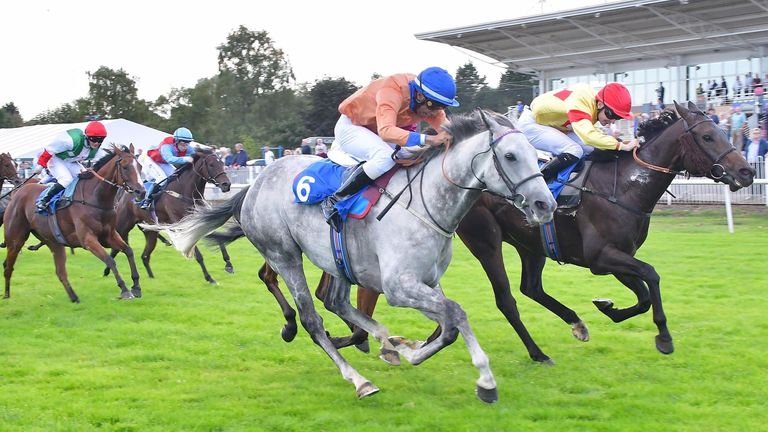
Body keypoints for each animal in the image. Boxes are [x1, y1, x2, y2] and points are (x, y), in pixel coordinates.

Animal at [2, 143, 146, 302]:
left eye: (140, 166)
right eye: (125, 167)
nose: (141, 192)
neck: (96, 198)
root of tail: (18, 191)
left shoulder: (108, 236)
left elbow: (128, 251)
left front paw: (136, 287)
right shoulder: (87, 239)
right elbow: (109, 259)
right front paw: (125, 289)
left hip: (54, 242)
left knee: (60, 272)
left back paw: (74, 297)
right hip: (15, 239)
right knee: (8, 266)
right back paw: (7, 295)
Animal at [103, 148, 232, 284]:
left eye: (222, 163)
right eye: (211, 165)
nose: (226, 184)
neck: (186, 192)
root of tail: (124, 195)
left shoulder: (199, 221)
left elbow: (218, 237)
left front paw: (228, 264)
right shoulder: (182, 225)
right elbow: (198, 254)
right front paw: (209, 277)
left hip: (150, 231)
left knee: (144, 256)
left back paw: (151, 277)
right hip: (123, 225)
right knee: (116, 248)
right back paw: (106, 271)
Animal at [152, 109, 560, 404]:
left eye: (536, 155)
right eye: (510, 156)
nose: (546, 205)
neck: (428, 203)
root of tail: (253, 185)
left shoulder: (426, 282)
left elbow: (447, 326)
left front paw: (410, 350)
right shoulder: (399, 286)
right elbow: (457, 314)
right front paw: (486, 381)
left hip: (336, 261)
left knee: (336, 302)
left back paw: (388, 343)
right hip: (284, 254)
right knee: (311, 318)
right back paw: (358, 378)